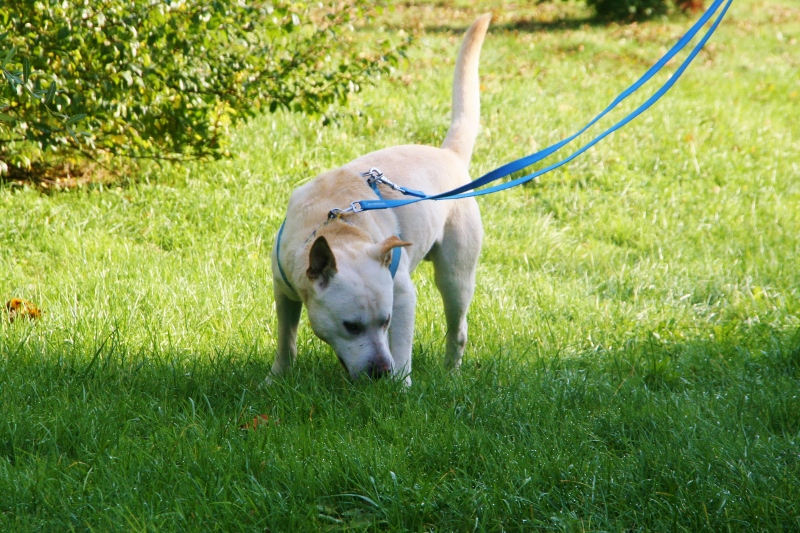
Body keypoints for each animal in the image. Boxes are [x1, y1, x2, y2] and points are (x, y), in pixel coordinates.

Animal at [270, 15, 491, 385]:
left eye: (385, 321)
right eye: (350, 326)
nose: (380, 372)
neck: (336, 225)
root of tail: (449, 155)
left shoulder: (401, 296)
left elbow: (401, 348)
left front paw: (400, 385)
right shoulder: (284, 291)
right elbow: (287, 338)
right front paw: (277, 378)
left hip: (455, 276)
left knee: (457, 330)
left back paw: (450, 374)